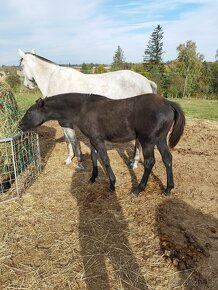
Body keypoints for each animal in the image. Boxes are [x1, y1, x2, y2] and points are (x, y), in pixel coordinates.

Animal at [17, 48, 157, 171]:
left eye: (21, 66)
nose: (27, 85)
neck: (53, 79)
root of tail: (146, 81)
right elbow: (68, 140)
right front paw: (69, 159)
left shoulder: (66, 121)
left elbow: (73, 140)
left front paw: (79, 163)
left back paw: (134, 163)